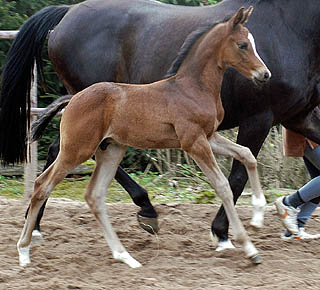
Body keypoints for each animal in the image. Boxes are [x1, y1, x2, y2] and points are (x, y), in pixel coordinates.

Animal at [18, 6, 270, 268]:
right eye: (243, 45)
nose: (265, 74)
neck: (192, 87)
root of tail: (73, 98)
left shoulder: (209, 137)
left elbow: (247, 155)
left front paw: (258, 215)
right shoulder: (194, 142)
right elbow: (223, 186)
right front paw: (248, 247)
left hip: (111, 150)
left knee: (94, 196)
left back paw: (126, 257)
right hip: (76, 150)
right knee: (42, 185)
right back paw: (24, 251)